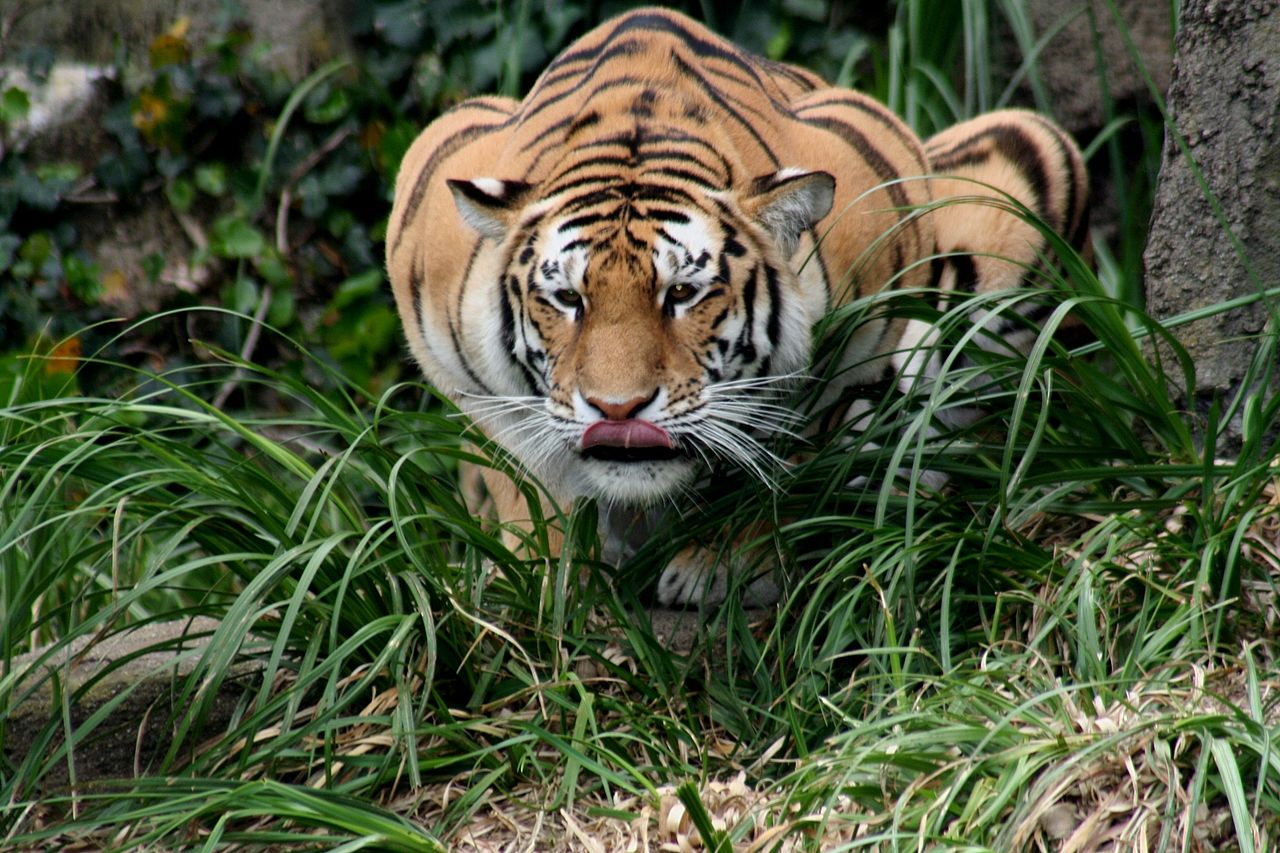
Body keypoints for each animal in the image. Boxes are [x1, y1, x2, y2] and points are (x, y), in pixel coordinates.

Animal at [385, 7, 1089, 607]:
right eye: (567, 299)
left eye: (681, 294)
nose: (618, 412)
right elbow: (525, 474)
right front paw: (541, 574)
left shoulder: (866, 310)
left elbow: (787, 455)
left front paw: (722, 566)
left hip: (1025, 161)